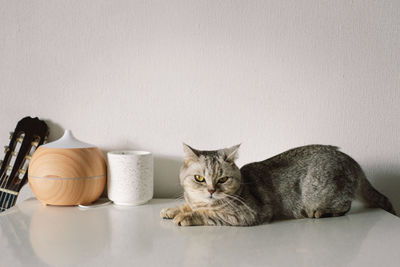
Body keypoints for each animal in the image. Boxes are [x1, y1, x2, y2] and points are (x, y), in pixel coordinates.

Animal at [160, 144, 396, 226]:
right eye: (199, 178)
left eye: (223, 179)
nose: (211, 190)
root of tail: (350, 159)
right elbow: (188, 205)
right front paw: (173, 209)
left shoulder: (247, 214)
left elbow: (207, 215)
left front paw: (186, 216)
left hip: (321, 193)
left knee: (345, 205)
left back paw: (322, 212)